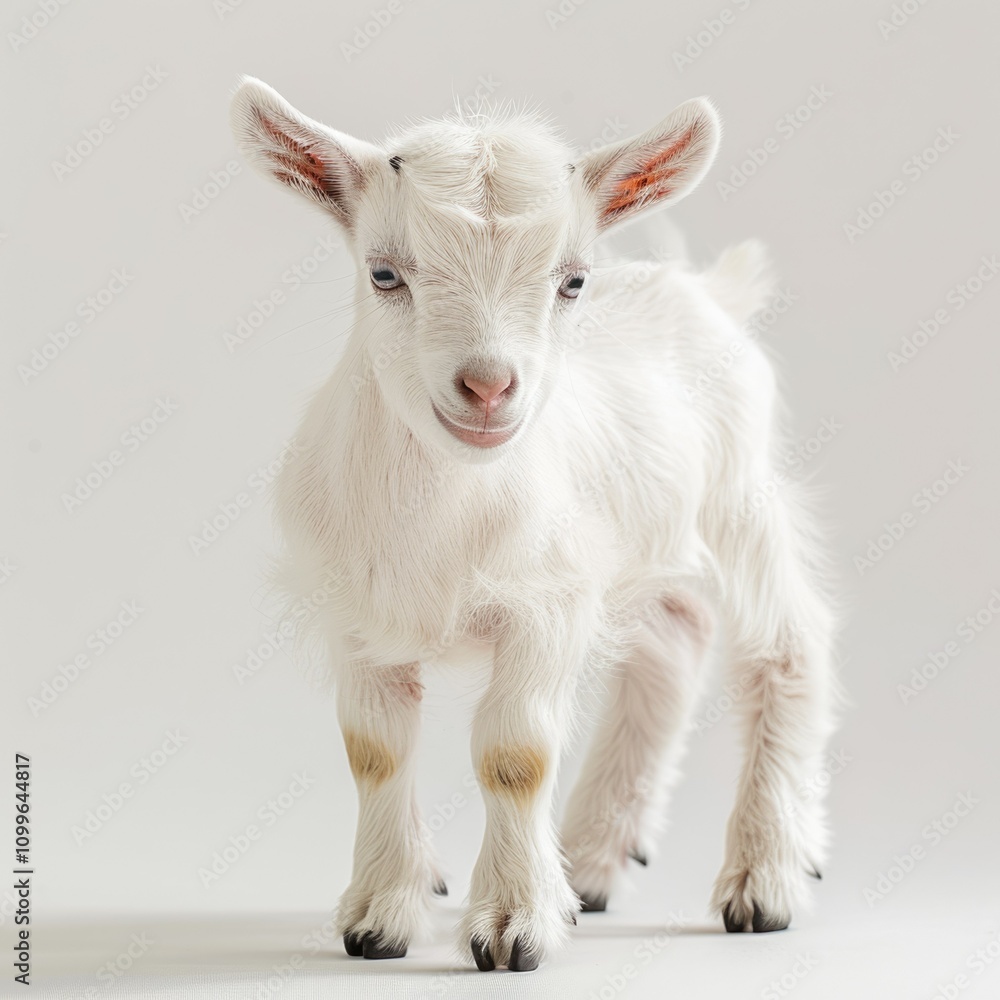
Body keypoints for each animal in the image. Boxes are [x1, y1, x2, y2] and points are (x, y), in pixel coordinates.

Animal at [230, 78, 837, 972]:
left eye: (573, 280)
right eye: (384, 272)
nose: (488, 386)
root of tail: (704, 289)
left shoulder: (545, 603)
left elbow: (514, 756)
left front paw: (512, 926)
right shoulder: (358, 613)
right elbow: (375, 751)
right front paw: (381, 916)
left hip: (739, 494)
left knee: (786, 643)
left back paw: (763, 878)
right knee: (673, 639)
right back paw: (589, 864)